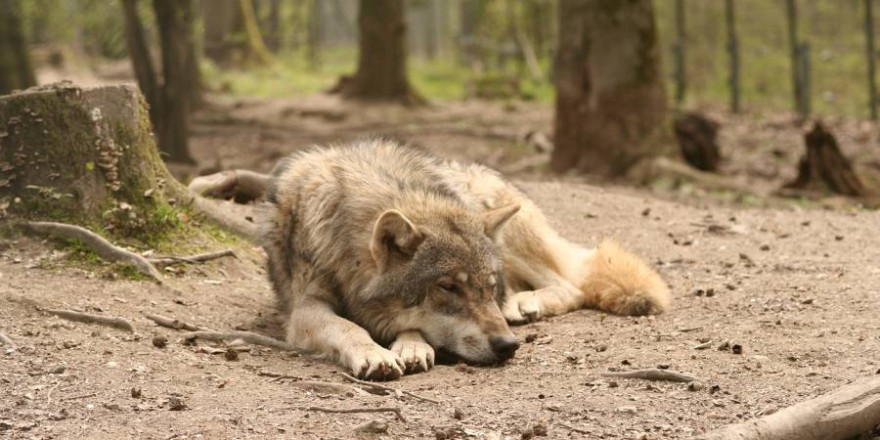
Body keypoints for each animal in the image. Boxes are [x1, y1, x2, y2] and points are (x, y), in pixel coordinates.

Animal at [258, 139, 672, 380]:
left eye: (488, 287)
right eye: (448, 287)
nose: (508, 345)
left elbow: (408, 324)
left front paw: (410, 346)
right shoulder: (304, 308)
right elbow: (348, 327)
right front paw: (378, 353)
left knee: (571, 286)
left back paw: (523, 303)